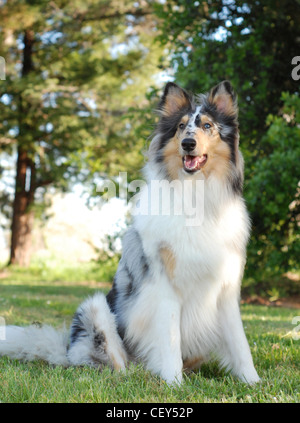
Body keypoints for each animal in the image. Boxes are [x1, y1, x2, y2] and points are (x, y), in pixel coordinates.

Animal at [0, 81, 260, 386]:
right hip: (96, 307)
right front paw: (174, 383)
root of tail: (65, 350)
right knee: (115, 364)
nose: (188, 143)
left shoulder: (226, 287)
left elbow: (239, 342)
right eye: (181, 127)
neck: (197, 196)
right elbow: (170, 338)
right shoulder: (164, 285)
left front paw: (253, 381)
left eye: (207, 125)